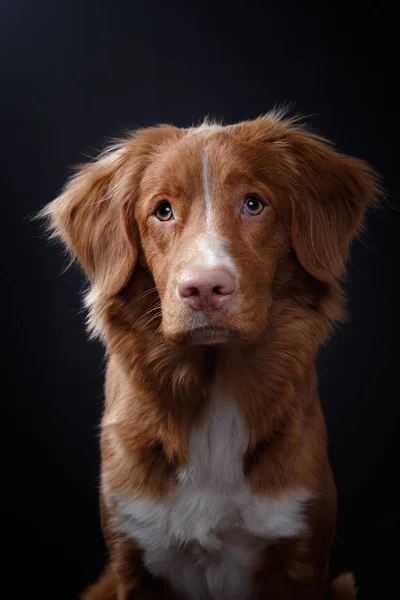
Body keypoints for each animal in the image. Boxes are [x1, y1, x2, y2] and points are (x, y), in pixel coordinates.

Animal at [42, 113, 380, 600]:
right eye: (162, 211)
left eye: (254, 204)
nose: (203, 287)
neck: (214, 390)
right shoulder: (134, 554)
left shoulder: (300, 548)